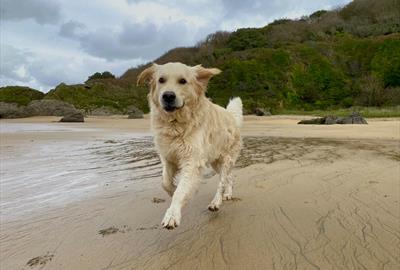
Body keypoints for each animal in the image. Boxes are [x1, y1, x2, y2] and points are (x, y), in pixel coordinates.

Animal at [136, 62, 242, 229]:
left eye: (183, 81)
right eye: (161, 80)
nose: (168, 96)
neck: (175, 124)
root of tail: (231, 116)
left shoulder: (192, 161)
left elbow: (181, 190)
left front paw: (172, 214)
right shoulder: (168, 157)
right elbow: (165, 183)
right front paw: (173, 190)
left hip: (226, 158)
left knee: (222, 181)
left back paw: (216, 202)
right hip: (215, 161)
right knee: (229, 177)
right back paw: (228, 194)